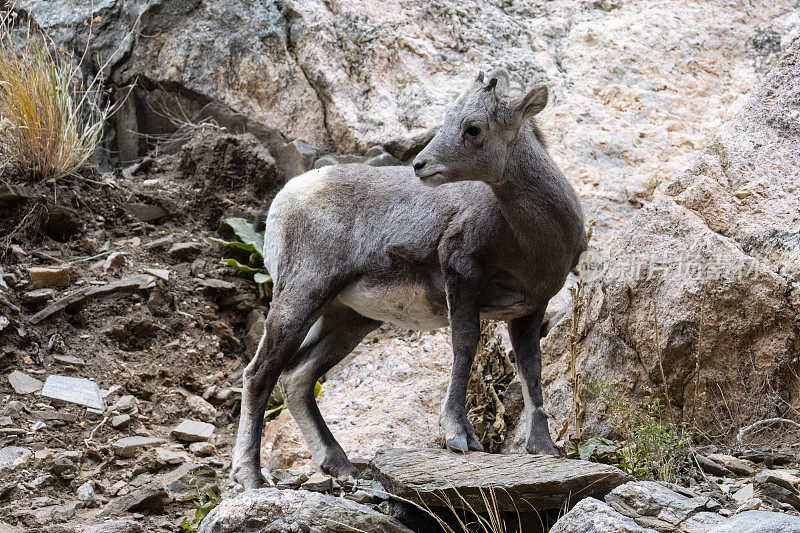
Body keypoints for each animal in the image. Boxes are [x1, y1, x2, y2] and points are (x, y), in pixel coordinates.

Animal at [231, 68, 588, 488]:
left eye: (473, 128)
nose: (420, 165)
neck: (533, 239)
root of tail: (285, 201)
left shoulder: (530, 309)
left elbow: (532, 370)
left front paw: (544, 449)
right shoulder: (461, 274)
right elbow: (465, 345)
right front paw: (459, 437)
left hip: (349, 318)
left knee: (296, 377)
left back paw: (342, 466)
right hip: (302, 296)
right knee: (259, 374)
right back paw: (251, 477)